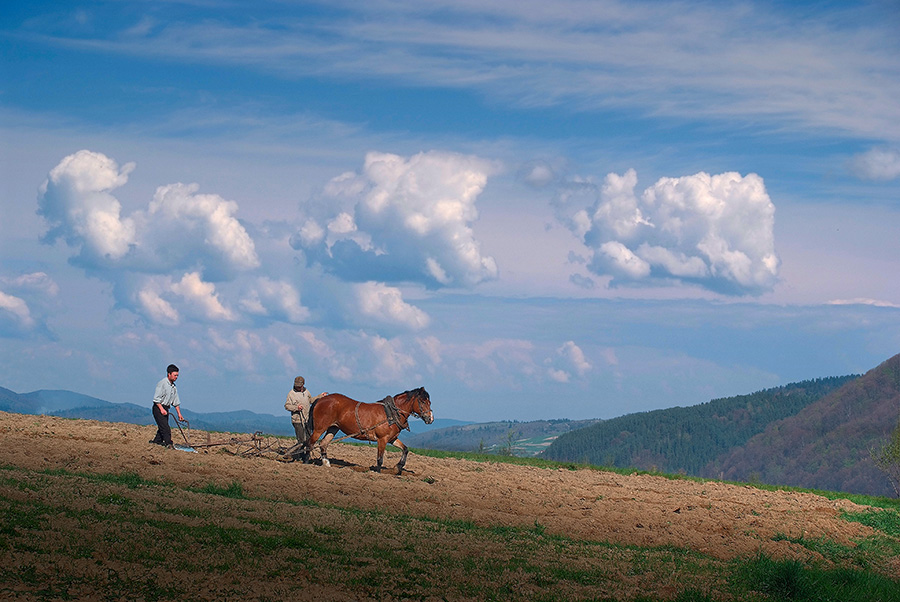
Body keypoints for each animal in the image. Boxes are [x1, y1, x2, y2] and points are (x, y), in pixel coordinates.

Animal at [304, 386, 434, 472]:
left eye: (430, 402)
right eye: (423, 401)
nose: (431, 419)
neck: (391, 413)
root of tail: (320, 399)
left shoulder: (392, 439)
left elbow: (405, 449)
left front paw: (398, 467)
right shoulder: (382, 439)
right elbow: (380, 459)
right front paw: (377, 473)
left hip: (333, 428)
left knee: (323, 443)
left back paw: (326, 464)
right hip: (320, 428)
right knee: (311, 442)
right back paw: (305, 462)